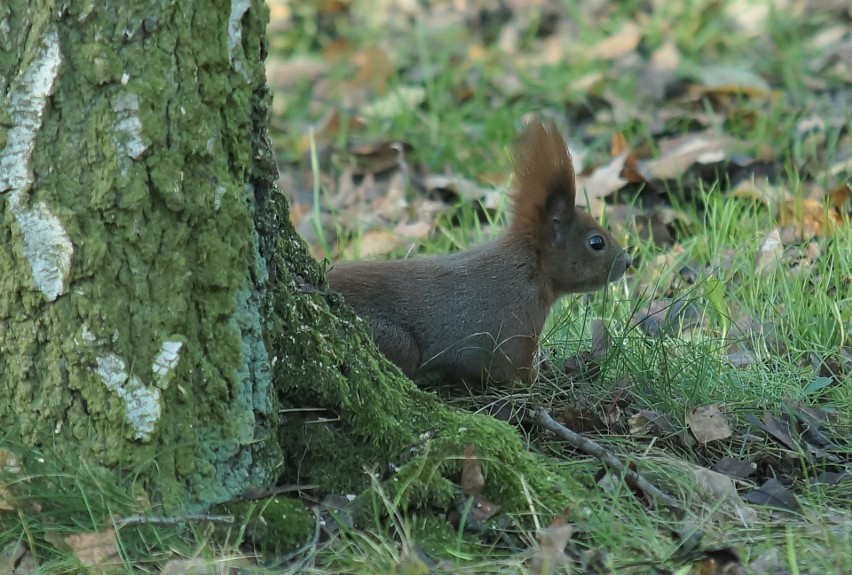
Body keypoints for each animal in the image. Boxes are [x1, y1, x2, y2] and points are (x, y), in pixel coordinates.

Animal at [328, 118, 632, 384]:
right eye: (596, 242)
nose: (628, 262)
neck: (529, 267)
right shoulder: (515, 327)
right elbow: (513, 372)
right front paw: (546, 376)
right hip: (395, 342)